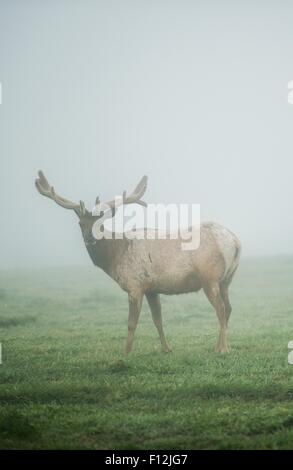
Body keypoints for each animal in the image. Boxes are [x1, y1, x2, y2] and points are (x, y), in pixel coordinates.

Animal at [34, 171, 240, 354]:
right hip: (226, 280)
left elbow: (131, 323)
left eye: (100, 224)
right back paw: (218, 346)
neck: (115, 257)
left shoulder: (135, 284)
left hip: (209, 277)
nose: (90, 238)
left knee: (221, 309)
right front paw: (167, 349)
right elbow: (158, 319)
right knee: (229, 308)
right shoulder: (151, 288)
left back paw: (223, 349)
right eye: (80, 224)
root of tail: (236, 242)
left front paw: (125, 353)